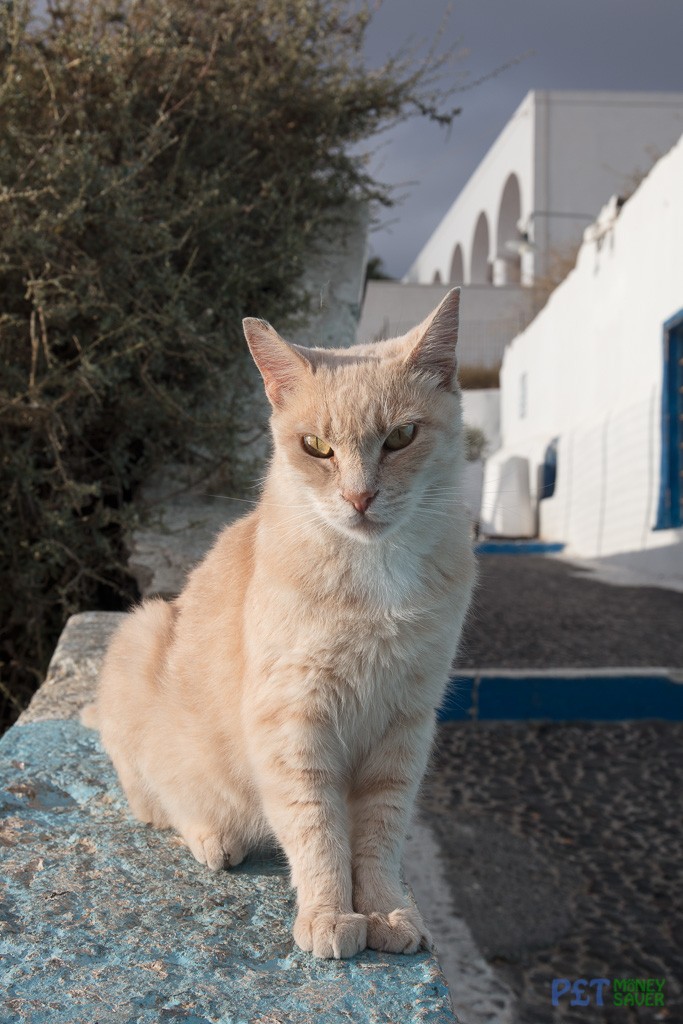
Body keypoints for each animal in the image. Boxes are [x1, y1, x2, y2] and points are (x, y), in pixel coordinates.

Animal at [82, 286, 475, 958]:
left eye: (401, 436)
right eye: (316, 447)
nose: (359, 498)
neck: (374, 576)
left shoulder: (404, 725)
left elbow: (380, 836)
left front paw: (386, 910)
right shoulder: (295, 722)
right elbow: (318, 829)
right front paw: (329, 915)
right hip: (140, 635)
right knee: (159, 801)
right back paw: (213, 836)